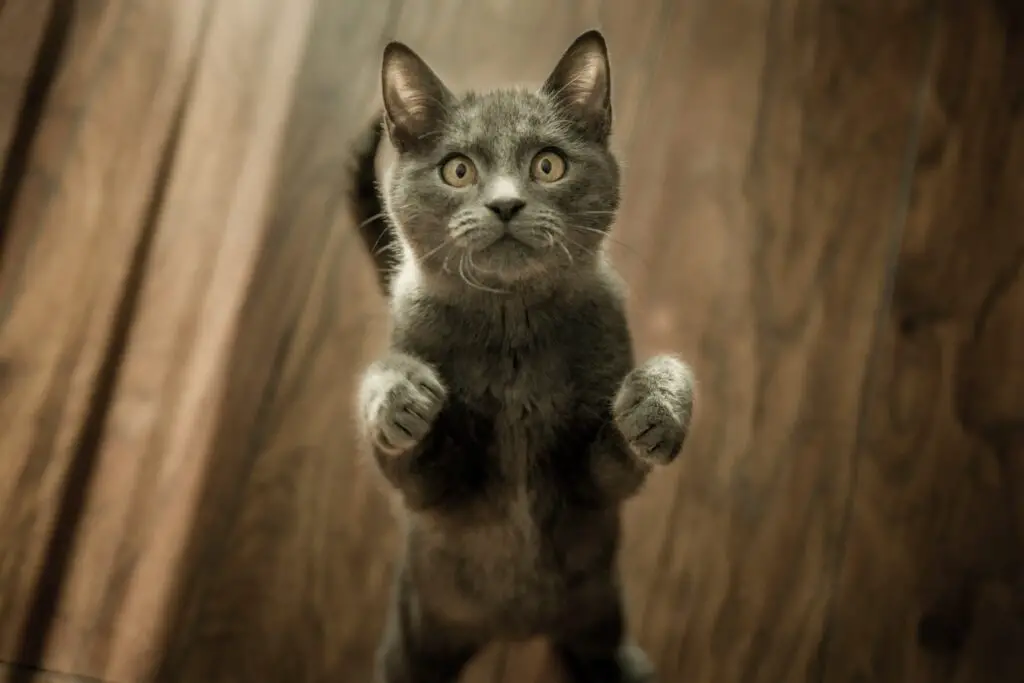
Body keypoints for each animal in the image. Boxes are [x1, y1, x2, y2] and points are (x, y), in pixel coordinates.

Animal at [352, 30, 696, 683]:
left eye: (548, 164)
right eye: (458, 169)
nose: (506, 204)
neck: (512, 332)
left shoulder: (595, 489)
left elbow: (620, 456)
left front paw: (658, 405)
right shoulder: (432, 496)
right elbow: (404, 451)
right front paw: (401, 396)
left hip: (598, 613)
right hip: (416, 632)